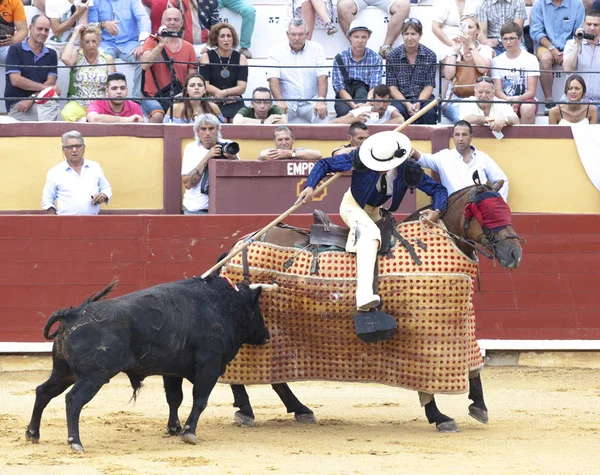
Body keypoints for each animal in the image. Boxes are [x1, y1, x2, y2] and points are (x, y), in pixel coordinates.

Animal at [27, 278, 270, 452]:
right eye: (257, 310)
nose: (266, 336)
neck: (223, 305)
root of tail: (73, 313)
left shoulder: (172, 371)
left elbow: (174, 398)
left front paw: (174, 428)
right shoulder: (209, 366)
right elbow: (199, 400)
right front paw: (188, 432)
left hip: (64, 372)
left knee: (43, 391)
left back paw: (33, 433)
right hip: (93, 376)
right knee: (73, 400)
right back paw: (75, 442)